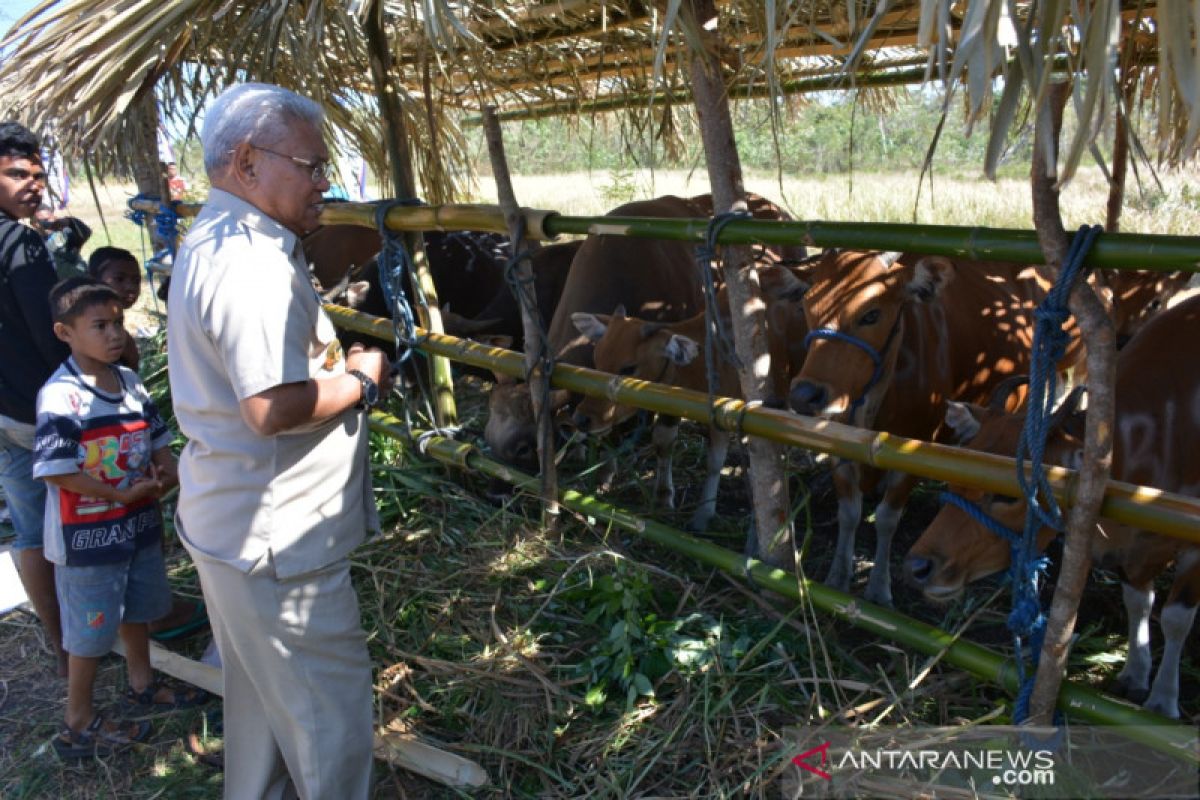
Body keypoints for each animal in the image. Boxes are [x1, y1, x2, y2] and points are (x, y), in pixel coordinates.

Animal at [568, 262, 806, 532]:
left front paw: (702, 516)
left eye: (629, 368)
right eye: (597, 359)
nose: (582, 418)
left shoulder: (727, 412)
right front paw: (663, 498)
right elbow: (663, 443)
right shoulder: (672, 406)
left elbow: (715, 462)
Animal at [782, 251, 1084, 606]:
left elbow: (887, 519)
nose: (804, 395)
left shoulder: (915, 452)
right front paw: (838, 577)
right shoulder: (836, 445)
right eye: (806, 309)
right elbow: (849, 513)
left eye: (871, 314)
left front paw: (878, 588)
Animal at [902, 293, 1195, 719]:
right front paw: (1135, 675)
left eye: (1009, 495)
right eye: (957, 472)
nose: (918, 567)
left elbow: (1175, 618)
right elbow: (1139, 601)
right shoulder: (1133, 550)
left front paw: (1163, 699)